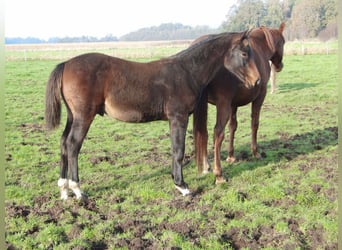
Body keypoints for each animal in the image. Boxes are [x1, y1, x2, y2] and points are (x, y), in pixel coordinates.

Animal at [44, 30, 260, 199]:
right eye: (244, 53)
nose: (257, 81)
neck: (187, 71)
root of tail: (66, 64)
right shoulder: (179, 117)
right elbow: (179, 151)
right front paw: (182, 186)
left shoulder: (175, 119)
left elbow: (174, 149)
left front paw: (176, 181)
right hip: (83, 117)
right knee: (73, 145)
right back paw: (77, 190)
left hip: (72, 116)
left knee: (63, 143)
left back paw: (64, 190)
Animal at [194, 23, 284, 182]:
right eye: (283, 42)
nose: (279, 66)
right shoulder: (259, 97)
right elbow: (254, 123)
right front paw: (255, 152)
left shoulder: (233, 104)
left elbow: (233, 126)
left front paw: (231, 156)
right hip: (222, 105)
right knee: (218, 133)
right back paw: (218, 173)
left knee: (202, 132)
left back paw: (206, 166)